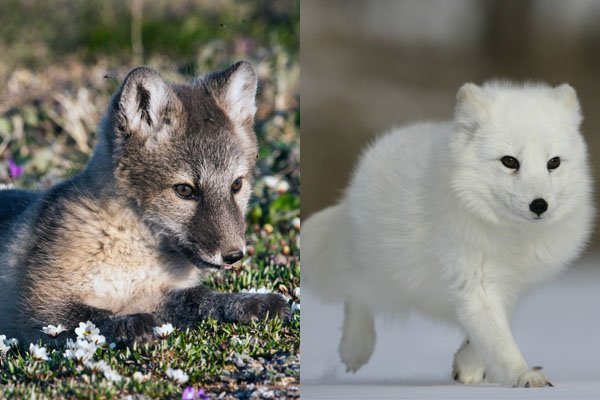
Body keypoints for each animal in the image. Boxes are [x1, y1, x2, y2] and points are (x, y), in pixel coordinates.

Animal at [0, 61, 290, 344]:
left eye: (236, 185)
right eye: (184, 190)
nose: (234, 255)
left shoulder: (154, 293)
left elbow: (199, 298)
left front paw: (249, 302)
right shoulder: (37, 308)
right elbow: (92, 317)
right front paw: (132, 324)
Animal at [304, 82, 596, 388]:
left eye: (554, 163)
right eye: (509, 161)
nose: (540, 205)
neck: (512, 237)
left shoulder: (508, 287)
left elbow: (487, 332)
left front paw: (469, 365)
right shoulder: (476, 280)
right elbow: (499, 341)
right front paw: (523, 374)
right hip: (382, 271)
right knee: (356, 293)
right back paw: (355, 348)